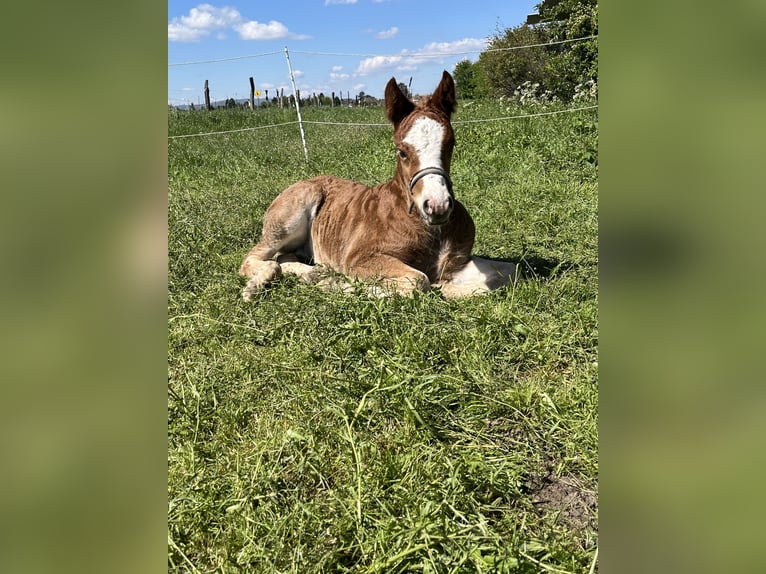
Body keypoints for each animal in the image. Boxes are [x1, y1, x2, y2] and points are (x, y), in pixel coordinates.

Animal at [240, 72, 516, 302]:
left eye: (451, 144)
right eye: (402, 151)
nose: (438, 206)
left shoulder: (457, 261)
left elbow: (509, 272)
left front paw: (448, 287)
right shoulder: (360, 258)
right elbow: (418, 281)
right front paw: (337, 285)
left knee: (285, 257)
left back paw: (311, 273)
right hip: (288, 220)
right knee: (255, 257)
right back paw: (258, 284)